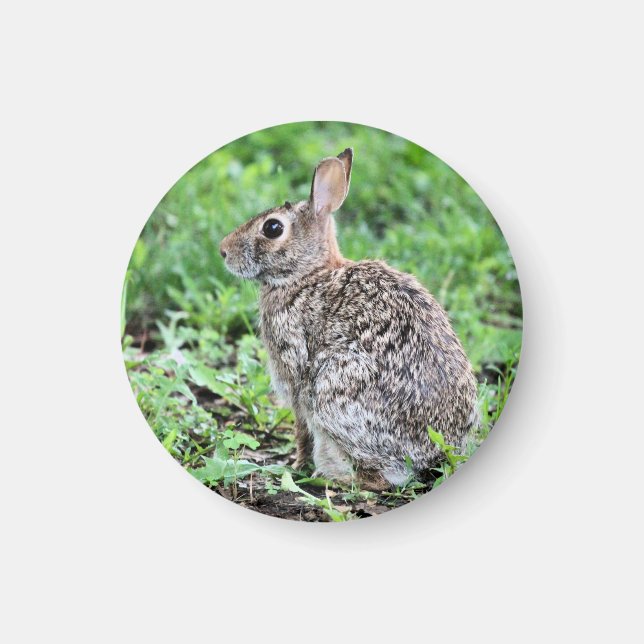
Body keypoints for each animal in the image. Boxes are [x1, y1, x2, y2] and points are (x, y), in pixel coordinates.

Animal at [219, 148, 479, 490]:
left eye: (272, 228)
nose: (223, 250)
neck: (307, 274)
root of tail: (433, 452)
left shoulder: (295, 374)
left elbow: (301, 427)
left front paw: (296, 464)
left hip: (335, 388)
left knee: (376, 478)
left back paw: (330, 477)